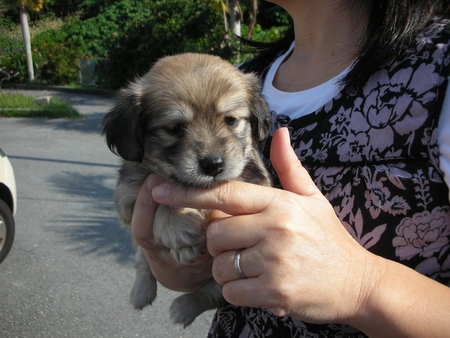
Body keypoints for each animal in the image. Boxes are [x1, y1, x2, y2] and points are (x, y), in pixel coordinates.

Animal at [102, 52, 270, 328]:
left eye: (231, 120)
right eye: (174, 128)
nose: (214, 164)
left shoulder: (254, 185)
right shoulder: (127, 199)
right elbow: (164, 195)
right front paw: (179, 231)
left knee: (214, 294)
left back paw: (184, 307)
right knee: (142, 260)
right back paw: (141, 292)